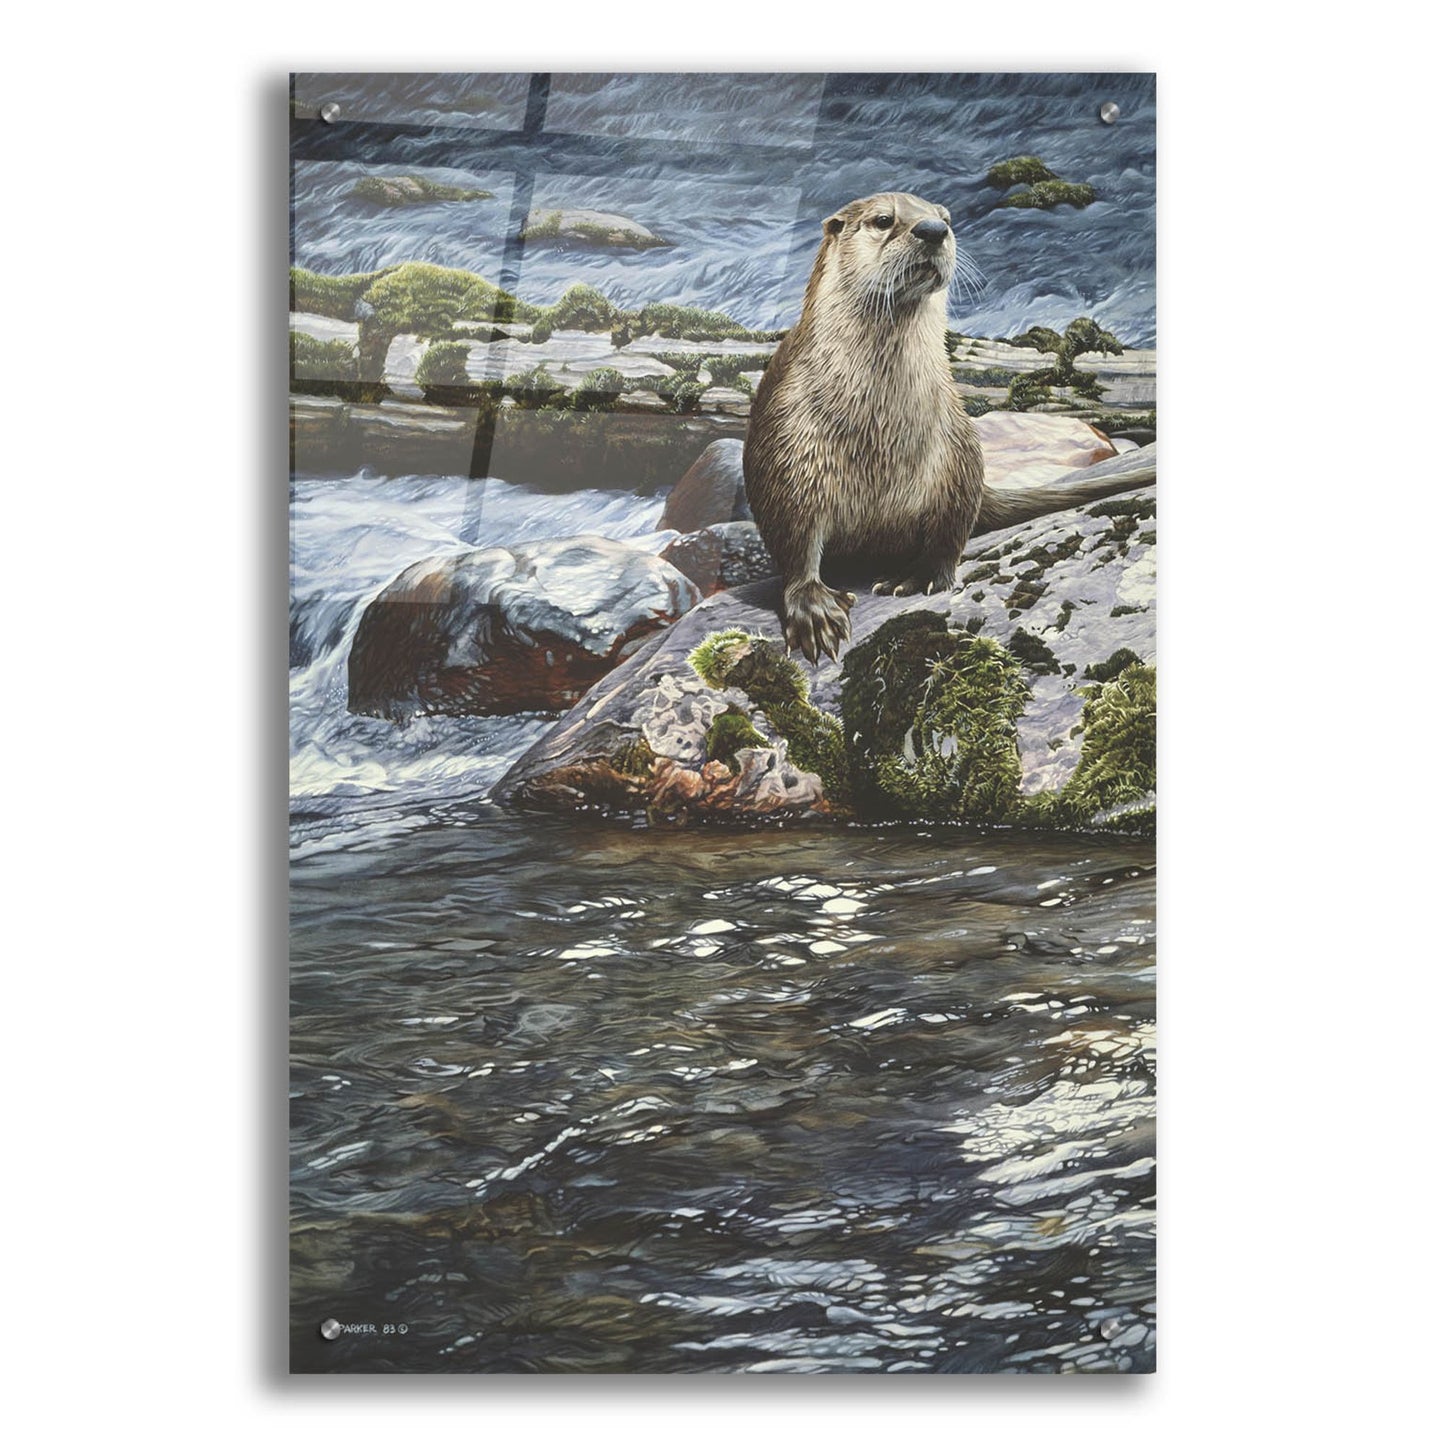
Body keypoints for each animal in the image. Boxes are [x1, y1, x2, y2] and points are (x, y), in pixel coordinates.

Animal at [744, 191, 1151, 662]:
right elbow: (793, 539)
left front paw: (918, 576)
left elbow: (951, 525)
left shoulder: (956, 452)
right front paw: (813, 606)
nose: (933, 230)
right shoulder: (788, 448)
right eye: (883, 220)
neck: (879, 436)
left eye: (946, 219)